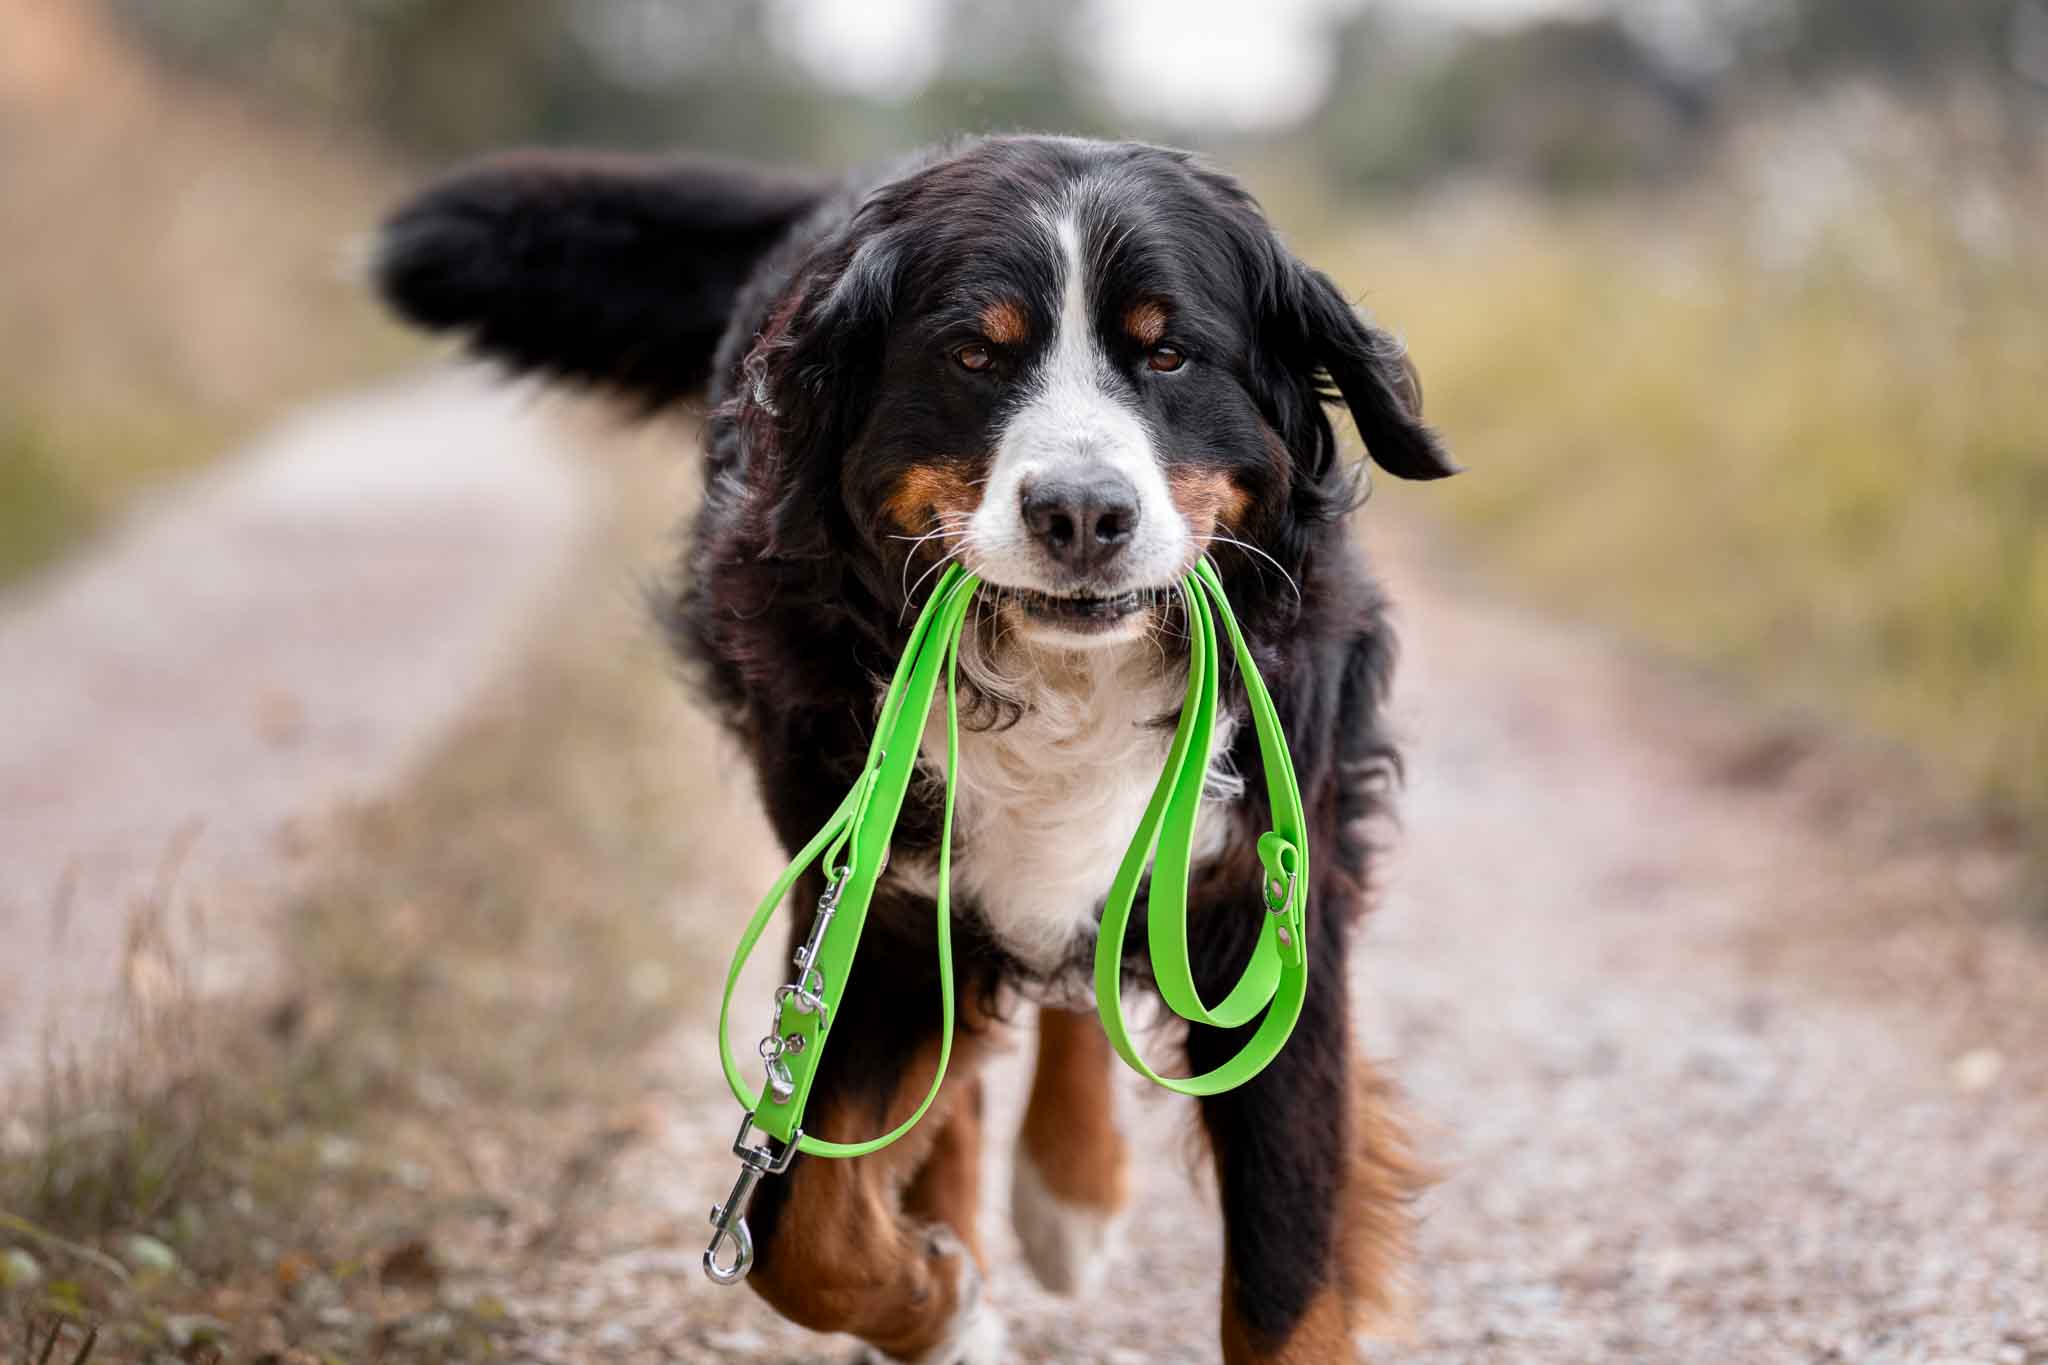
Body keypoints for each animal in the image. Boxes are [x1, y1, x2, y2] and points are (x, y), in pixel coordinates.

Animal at [372, 130, 1458, 1365]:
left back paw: (1071, 1194)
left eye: (1169, 353)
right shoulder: (879, 912)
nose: (1081, 513)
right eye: (974, 356)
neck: (1059, 684)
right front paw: (949, 1306)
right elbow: (798, 1234)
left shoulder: (1262, 902)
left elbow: (1284, 1276)